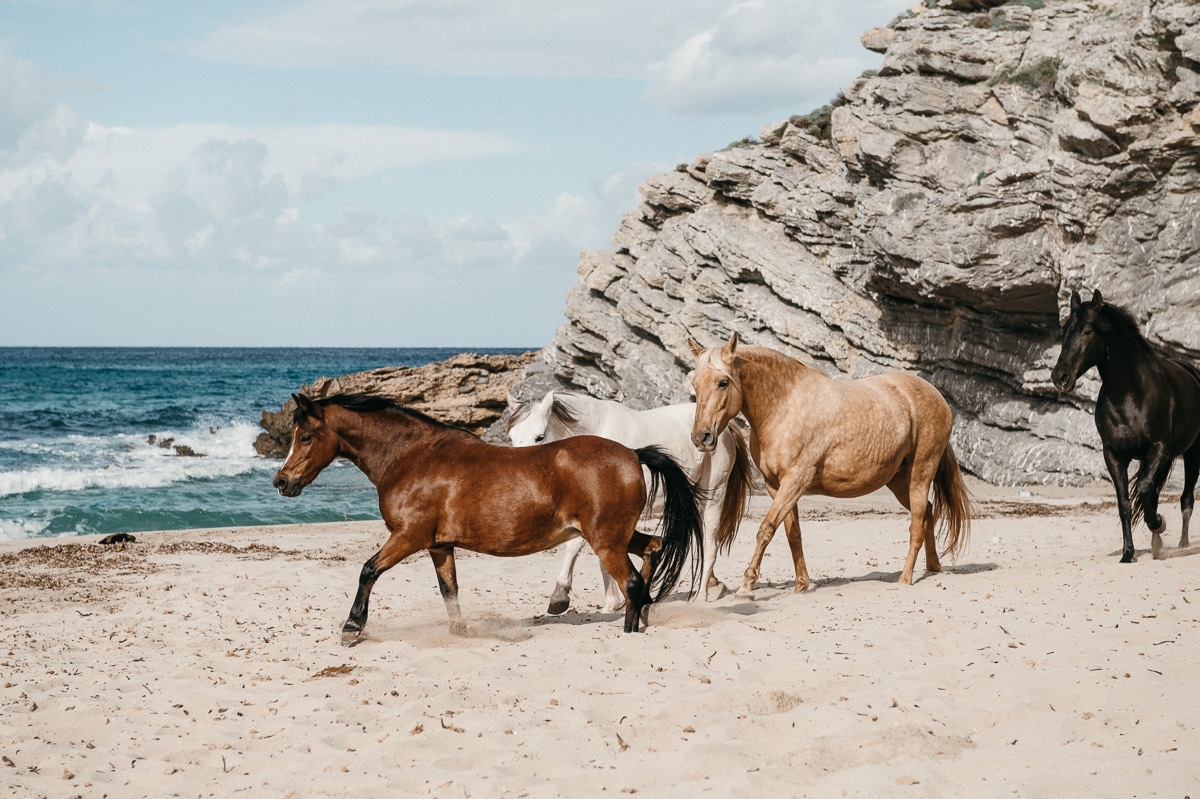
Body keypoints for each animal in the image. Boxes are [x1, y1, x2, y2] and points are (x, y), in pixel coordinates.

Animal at [273, 393, 704, 643]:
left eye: (305, 436)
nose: (281, 482)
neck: (412, 458)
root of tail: (632, 453)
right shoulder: (439, 545)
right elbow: (449, 590)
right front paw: (459, 632)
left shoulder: (408, 536)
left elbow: (367, 570)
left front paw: (352, 628)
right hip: (617, 535)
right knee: (652, 549)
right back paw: (643, 617)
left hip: (605, 540)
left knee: (631, 582)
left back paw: (630, 630)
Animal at [507, 391, 751, 613]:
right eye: (511, 437)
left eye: (539, 437)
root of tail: (724, 428)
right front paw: (611, 604)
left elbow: (576, 546)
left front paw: (561, 597)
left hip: (715, 495)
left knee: (710, 543)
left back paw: (701, 597)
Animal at [688, 333, 971, 596]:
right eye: (695, 384)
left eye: (723, 382)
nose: (702, 437)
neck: (785, 406)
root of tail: (936, 396)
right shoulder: (775, 486)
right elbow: (793, 533)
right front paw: (801, 585)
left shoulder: (795, 481)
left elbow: (766, 529)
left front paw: (747, 585)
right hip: (899, 481)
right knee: (928, 514)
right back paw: (934, 568)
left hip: (920, 475)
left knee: (917, 523)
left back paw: (905, 578)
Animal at [1051, 289, 1200, 561]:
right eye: (1066, 330)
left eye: (1087, 331)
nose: (1060, 377)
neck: (1130, 396)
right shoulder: (1114, 455)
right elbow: (1125, 503)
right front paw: (1128, 553)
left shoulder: (1159, 449)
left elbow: (1143, 488)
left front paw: (1158, 523)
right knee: (1156, 494)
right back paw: (1157, 544)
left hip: (1193, 453)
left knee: (1186, 499)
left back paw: (1182, 544)